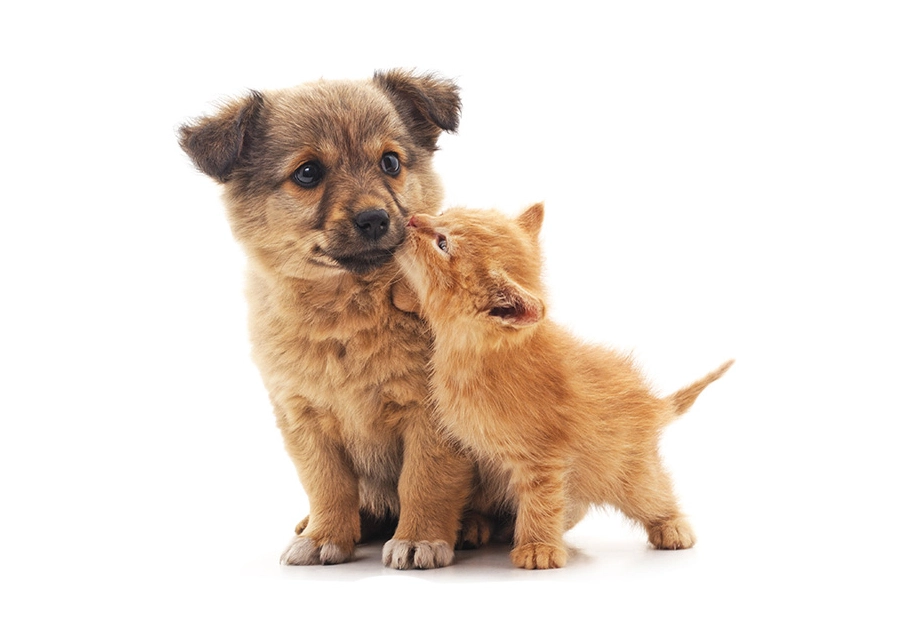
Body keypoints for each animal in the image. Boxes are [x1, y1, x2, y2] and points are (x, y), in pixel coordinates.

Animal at [178, 70, 496, 569]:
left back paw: (473, 526)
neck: (348, 308)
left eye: (390, 162)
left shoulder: (431, 418)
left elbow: (424, 480)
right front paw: (326, 534)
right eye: (308, 172)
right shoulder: (303, 418)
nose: (375, 218)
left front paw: (420, 538)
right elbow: (327, 483)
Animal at [393, 202, 733, 569]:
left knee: (652, 493)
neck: (468, 351)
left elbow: (542, 501)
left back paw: (672, 527)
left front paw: (538, 548)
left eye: (442, 243)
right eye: (443, 214)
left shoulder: (544, 454)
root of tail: (651, 404)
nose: (413, 219)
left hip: (627, 469)